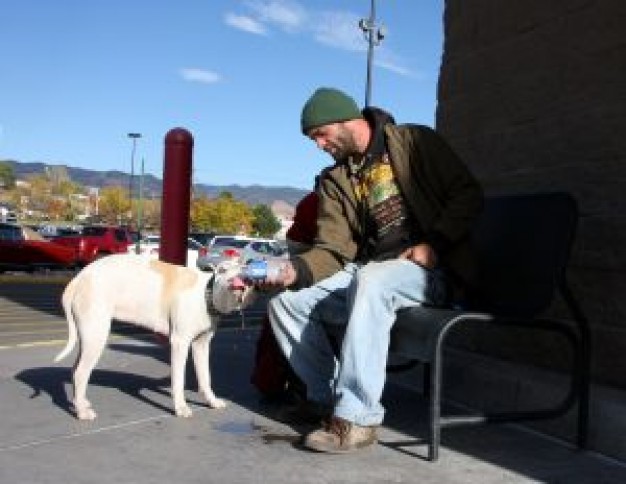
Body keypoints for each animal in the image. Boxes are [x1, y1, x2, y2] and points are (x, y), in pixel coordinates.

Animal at [53, 253, 254, 420]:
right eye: (223, 270)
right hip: (96, 336)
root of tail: (79, 278)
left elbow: (206, 378)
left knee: (75, 369)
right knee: (80, 372)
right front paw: (181, 408)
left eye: (244, 269)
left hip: (89, 337)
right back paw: (82, 412)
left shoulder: (201, 346)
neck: (206, 294)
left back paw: (80, 402)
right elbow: (178, 380)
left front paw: (211, 401)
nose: (246, 279)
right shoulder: (180, 343)